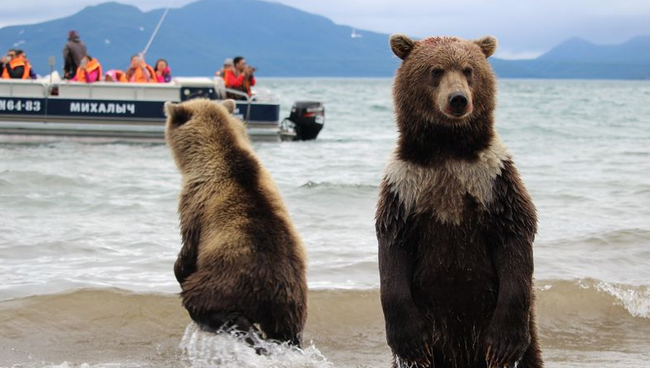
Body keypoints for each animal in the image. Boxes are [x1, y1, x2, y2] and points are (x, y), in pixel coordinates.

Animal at [374, 34, 540, 368]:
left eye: (468, 70)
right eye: (435, 71)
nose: (458, 99)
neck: (448, 148)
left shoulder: (494, 178)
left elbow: (515, 231)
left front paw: (503, 344)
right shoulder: (403, 185)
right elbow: (393, 245)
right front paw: (409, 341)